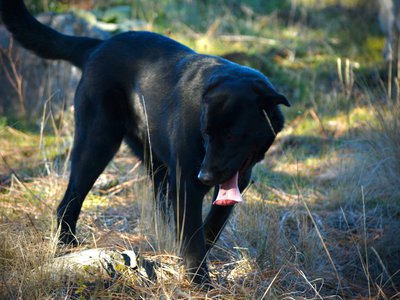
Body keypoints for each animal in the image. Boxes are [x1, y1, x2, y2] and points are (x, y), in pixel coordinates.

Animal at [0, 0, 288, 282]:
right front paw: (199, 280)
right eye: (206, 133)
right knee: (69, 200)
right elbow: (192, 236)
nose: (204, 177)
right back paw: (66, 245)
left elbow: (211, 225)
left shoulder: (237, 177)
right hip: (97, 143)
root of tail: (98, 46)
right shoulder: (187, 182)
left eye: (231, 135)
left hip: (155, 162)